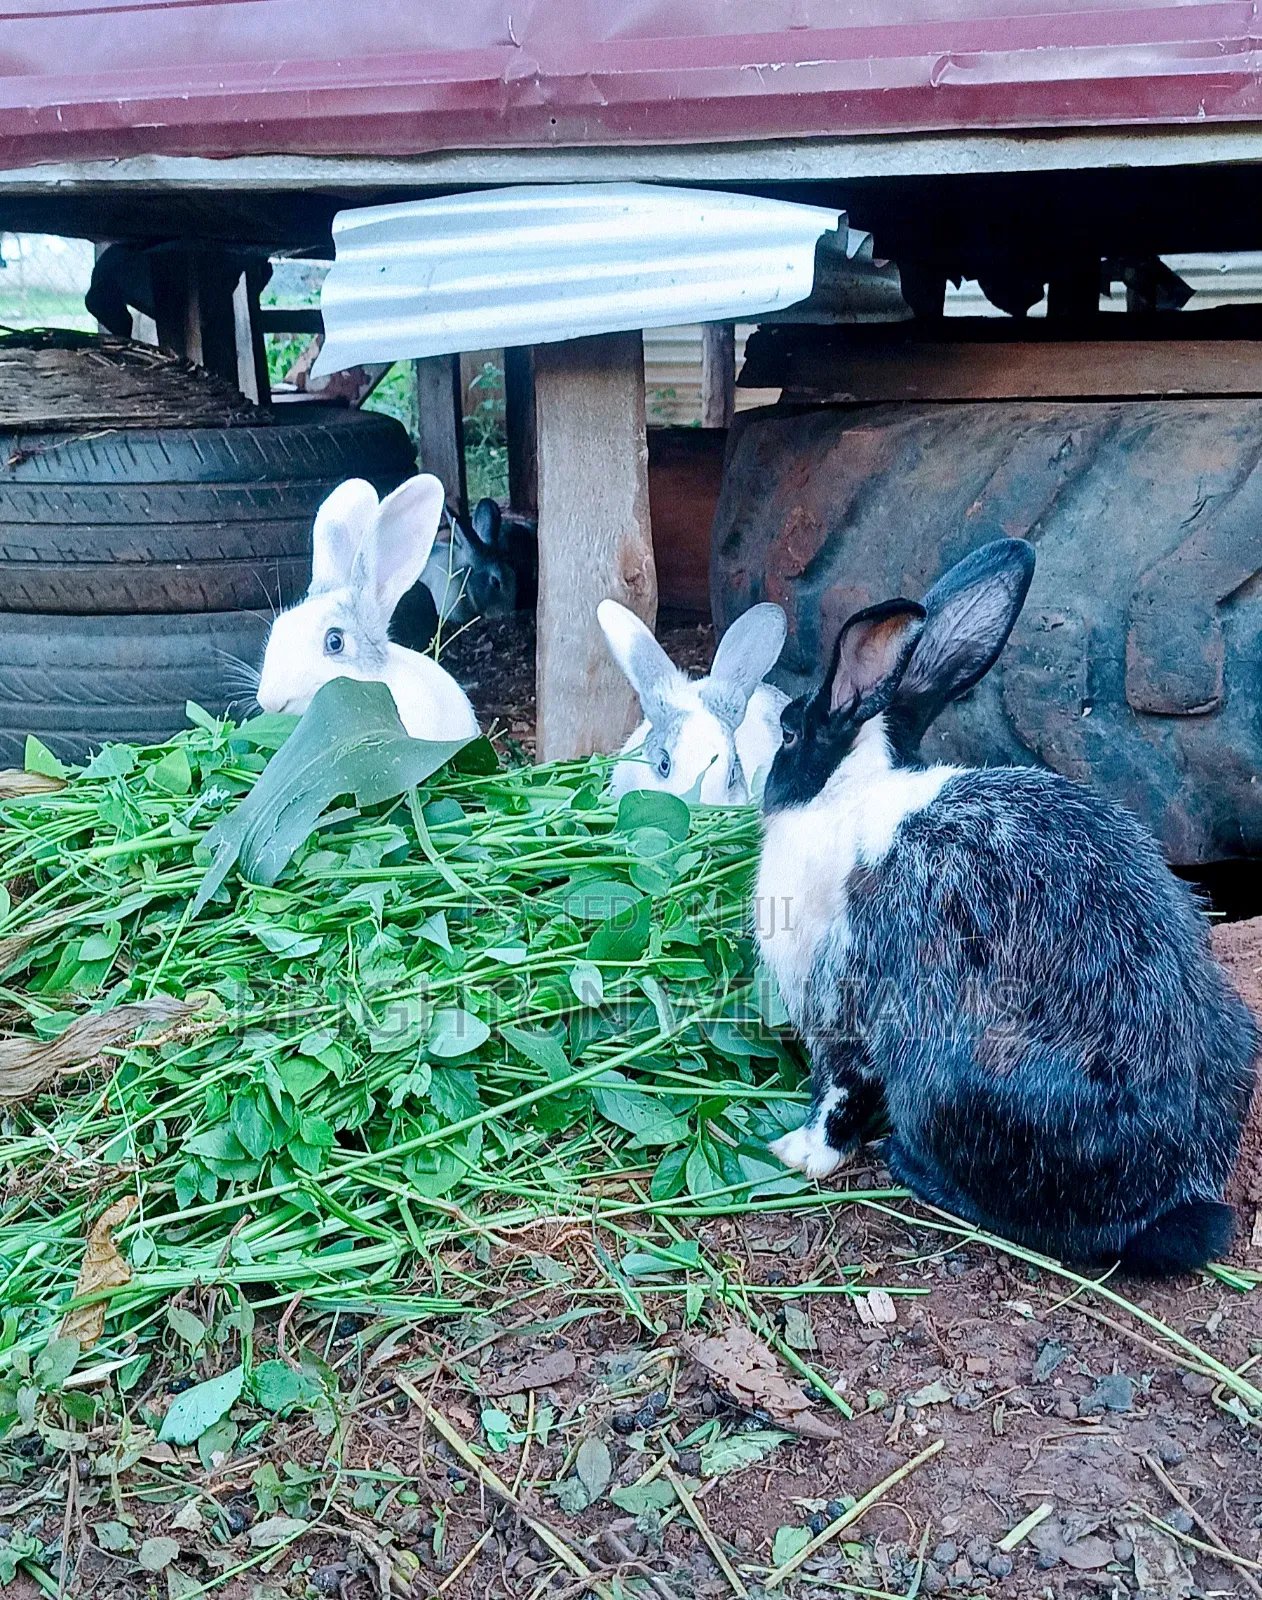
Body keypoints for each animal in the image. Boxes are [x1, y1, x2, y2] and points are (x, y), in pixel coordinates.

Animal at [757, 537, 1257, 1275]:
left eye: (790, 734)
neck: (849, 791)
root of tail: (1170, 1201)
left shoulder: (839, 999)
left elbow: (837, 1093)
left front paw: (796, 1154)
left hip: (946, 1075)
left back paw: (909, 1164)